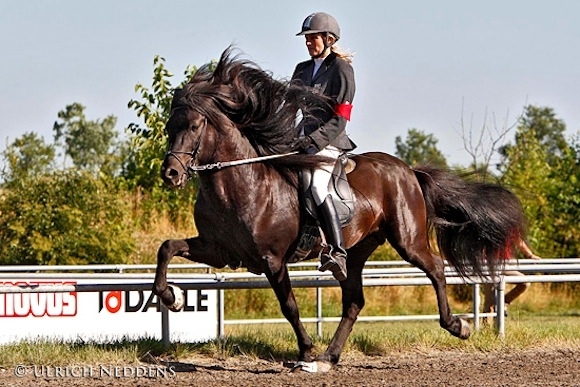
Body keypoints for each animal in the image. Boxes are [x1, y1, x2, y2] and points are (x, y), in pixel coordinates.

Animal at [153, 47, 524, 372]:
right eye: (170, 127)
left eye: (195, 127)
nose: (170, 174)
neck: (238, 186)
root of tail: (408, 170)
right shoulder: (220, 251)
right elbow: (167, 248)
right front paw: (172, 297)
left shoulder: (272, 260)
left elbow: (289, 306)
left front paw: (304, 351)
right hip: (358, 250)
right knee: (354, 300)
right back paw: (329, 358)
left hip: (408, 239)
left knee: (434, 268)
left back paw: (457, 326)